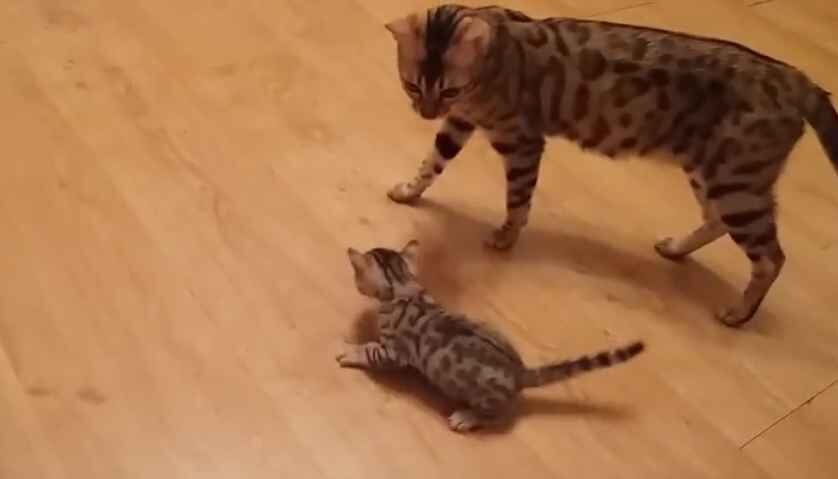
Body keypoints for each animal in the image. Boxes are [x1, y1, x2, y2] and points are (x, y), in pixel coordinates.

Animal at [337, 240, 645, 432]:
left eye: (356, 275)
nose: (355, 283)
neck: (404, 287)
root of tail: (520, 372)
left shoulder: (395, 352)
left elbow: (371, 351)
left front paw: (351, 351)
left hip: (485, 398)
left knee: (497, 416)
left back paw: (467, 418)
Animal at [382, 4, 838, 327]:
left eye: (448, 89)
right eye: (412, 85)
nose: (425, 112)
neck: (492, 64)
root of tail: (798, 78)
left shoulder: (522, 142)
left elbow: (517, 199)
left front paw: (507, 236)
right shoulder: (459, 122)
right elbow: (432, 162)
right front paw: (408, 189)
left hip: (736, 182)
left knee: (772, 258)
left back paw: (739, 313)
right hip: (711, 175)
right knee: (717, 222)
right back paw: (676, 249)